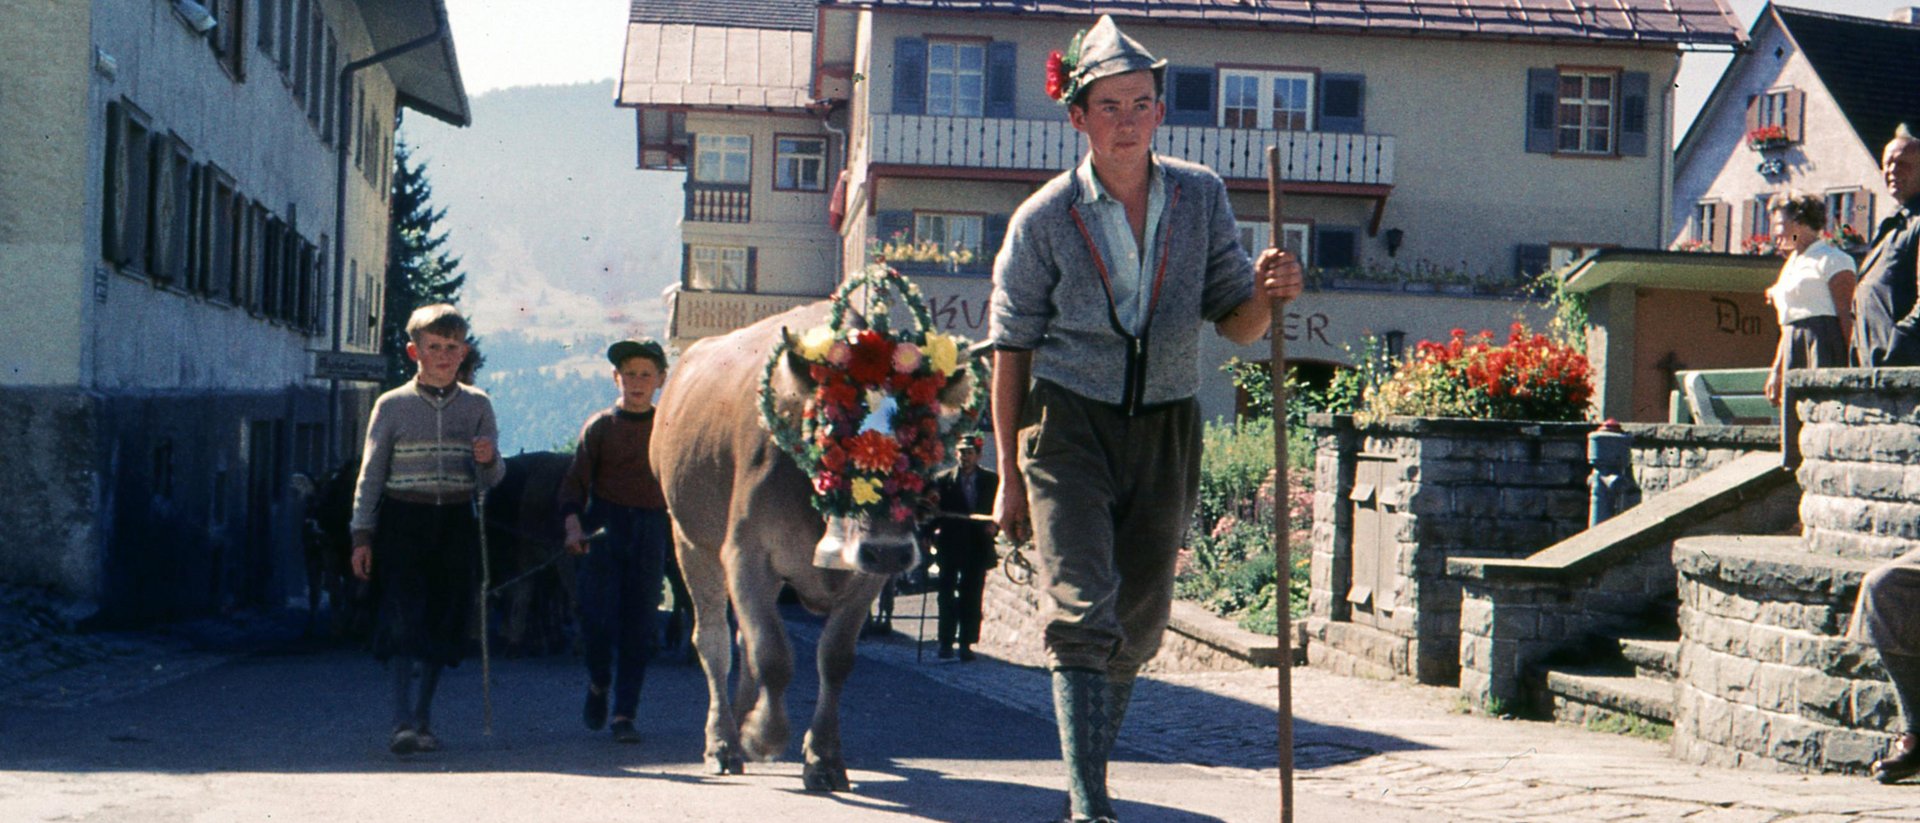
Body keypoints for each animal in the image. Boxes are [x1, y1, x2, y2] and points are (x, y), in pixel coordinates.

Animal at [652, 264, 983, 790]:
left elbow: (834, 659)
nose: (889, 550)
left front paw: (823, 758)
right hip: (689, 540)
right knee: (714, 641)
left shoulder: (867, 576)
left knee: (742, 641)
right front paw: (763, 737)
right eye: (834, 429)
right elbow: (773, 655)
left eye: (925, 439)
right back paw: (724, 741)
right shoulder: (745, 555)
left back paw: (742, 718)